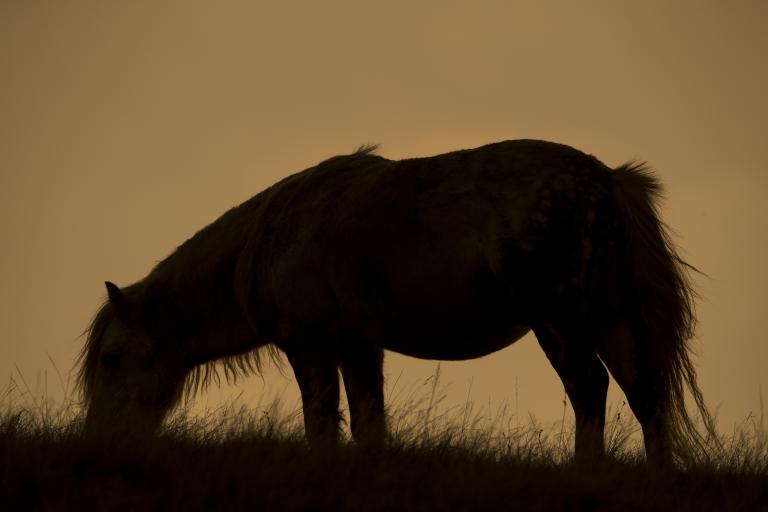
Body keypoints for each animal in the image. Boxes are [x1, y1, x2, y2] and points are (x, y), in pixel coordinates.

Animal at [77, 139, 715, 465]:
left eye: (111, 358)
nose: (99, 443)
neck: (268, 238)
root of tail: (609, 180)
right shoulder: (360, 348)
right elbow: (368, 425)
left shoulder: (311, 347)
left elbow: (321, 424)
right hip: (610, 318)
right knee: (644, 392)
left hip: (558, 320)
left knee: (590, 388)